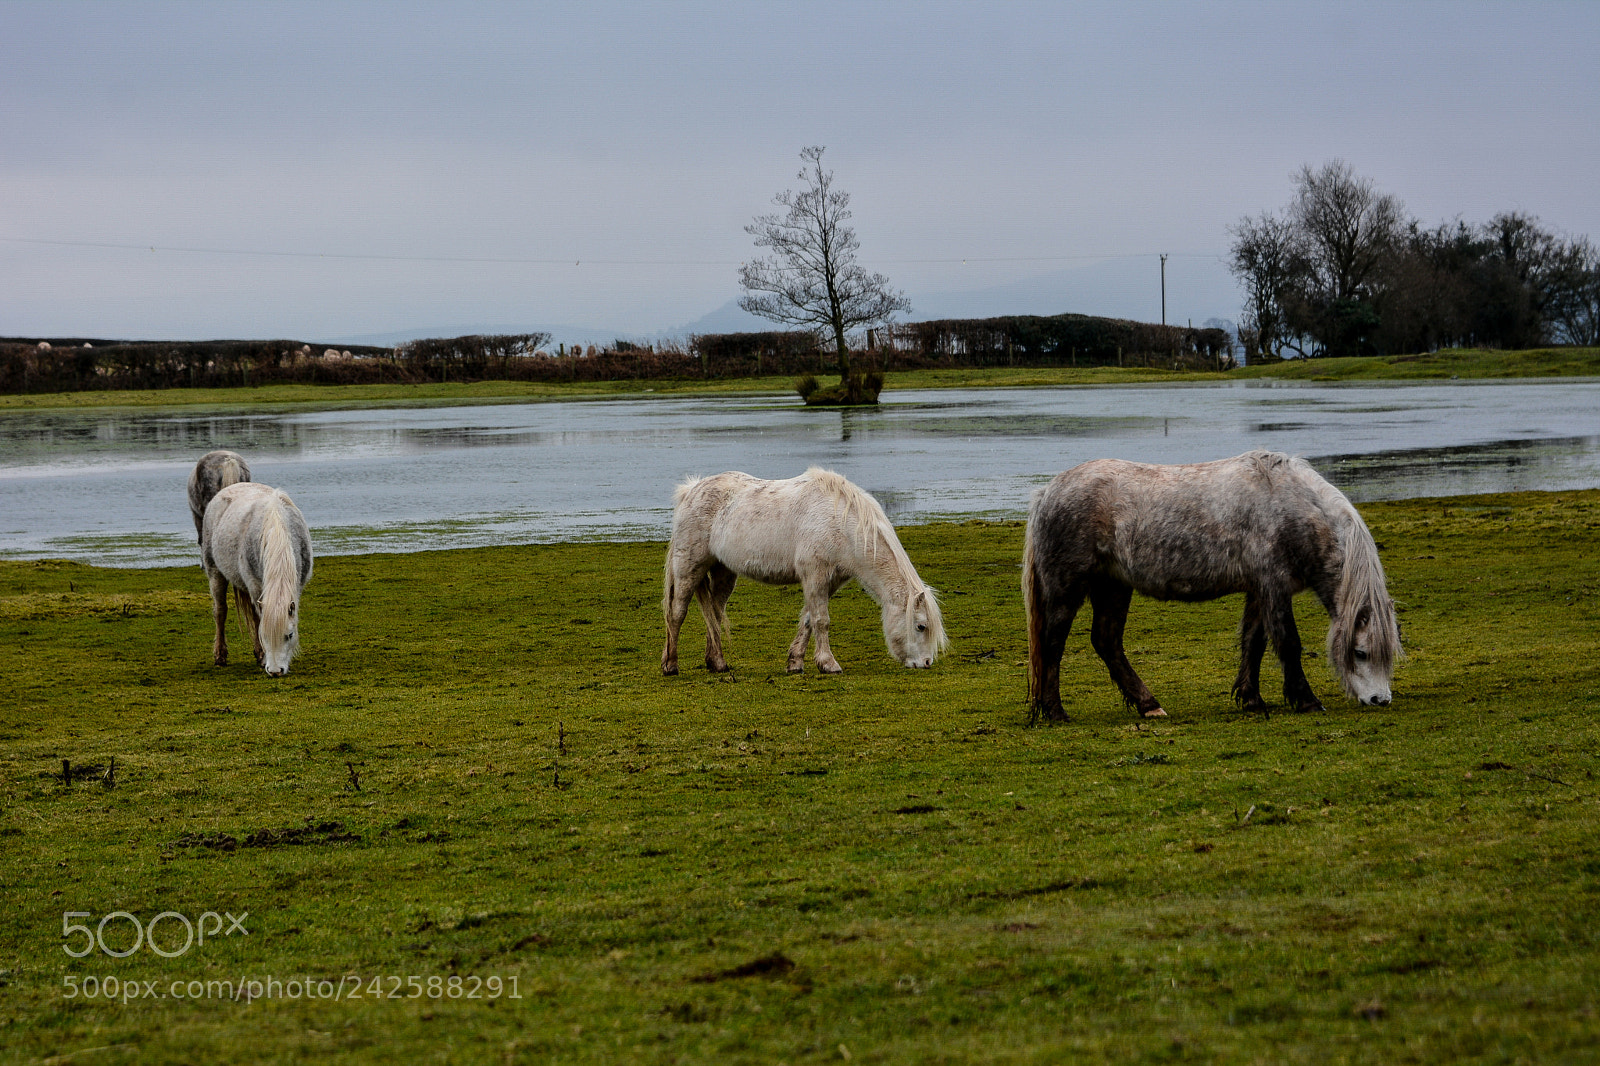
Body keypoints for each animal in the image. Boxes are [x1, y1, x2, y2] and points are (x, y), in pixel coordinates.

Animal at [201, 482, 313, 677]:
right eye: (265, 636)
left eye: (290, 635)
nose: (276, 671)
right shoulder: (255, 586)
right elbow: (257, 621)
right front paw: (262, 656)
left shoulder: (297, 586)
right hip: (215, 573)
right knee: (220, 612)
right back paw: (220, 656)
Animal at [662, 467, 946, 675]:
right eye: (921, 626)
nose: (926, 663)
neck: (841, 524)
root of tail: (691, 491)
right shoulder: (815, 576)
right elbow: (821, 620)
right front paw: (829, 664)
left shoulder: (829, 581)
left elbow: (809, 619)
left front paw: (795, 663)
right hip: (689, 568)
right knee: (677, 613)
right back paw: (671, 665)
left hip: (723, 573)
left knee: (715, 615)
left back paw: (717, 663)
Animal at [1023, 450, 1400, 721]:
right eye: (1360, 652)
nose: (1380, 700)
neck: (1289, 506)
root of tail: (1047, 492)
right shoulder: (1274, 586)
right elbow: (1288, 643)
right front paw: (1306, 700)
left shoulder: (1258, 590)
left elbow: (1254, 642)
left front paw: (1251, 698)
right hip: (1068, 588)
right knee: (1053, 644)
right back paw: (1055, 712)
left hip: (1114, 585)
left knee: (1106, 642)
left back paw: (1149, 705)